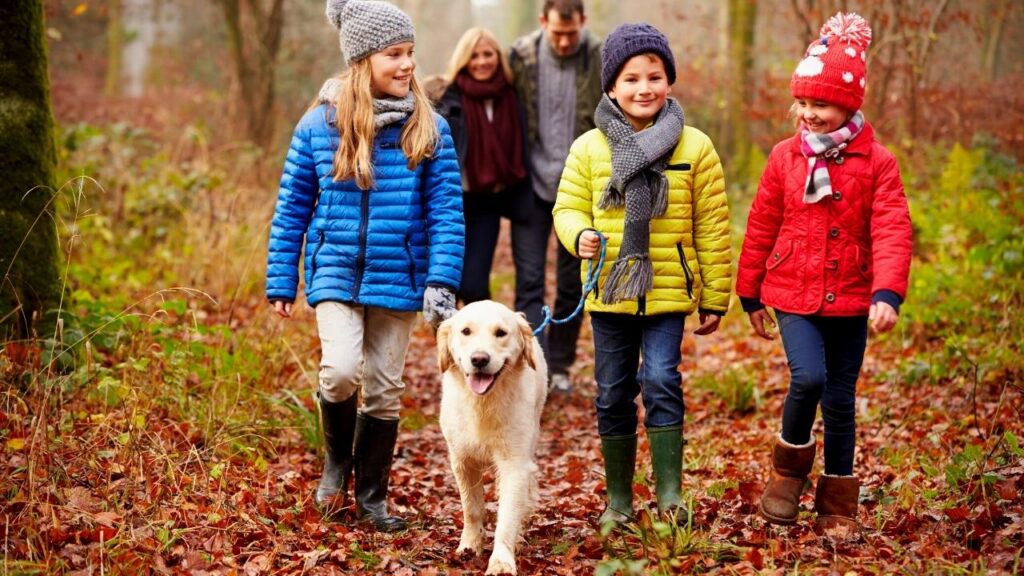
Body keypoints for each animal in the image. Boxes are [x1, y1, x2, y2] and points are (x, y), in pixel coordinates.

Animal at [436, 297, 548, 569]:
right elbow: (472, 508)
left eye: (501, 333)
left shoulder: (515, 463)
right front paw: (469, 546)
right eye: (466, 331)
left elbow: (507, 517)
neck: (483, 403)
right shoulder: (462, 461)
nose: (479, 359)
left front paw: (501, 562)